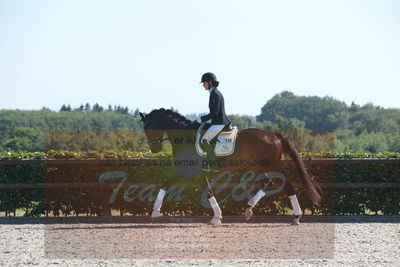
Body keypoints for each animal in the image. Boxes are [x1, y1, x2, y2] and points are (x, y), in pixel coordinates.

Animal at [139, 109, 324, 226]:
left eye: (151, 126)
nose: (154, 149)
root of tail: (274, 135)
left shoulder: (193, 171)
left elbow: (205, 191)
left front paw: (216, 217)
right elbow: (166, 184)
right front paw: (155, 211)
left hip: (268, 166)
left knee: (279, 184)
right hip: (260, 168)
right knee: (279, 184)